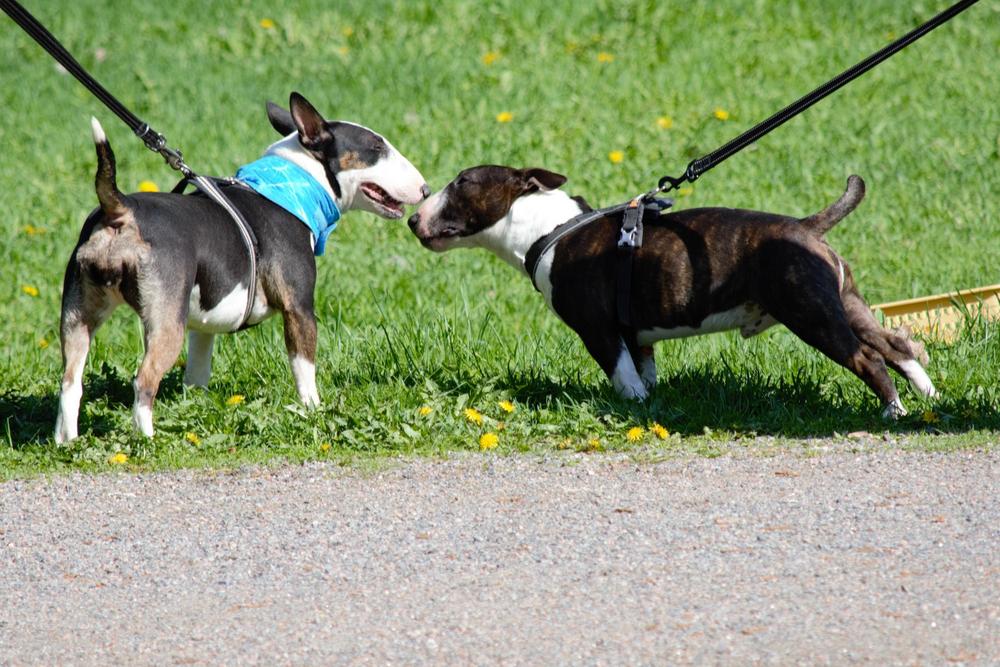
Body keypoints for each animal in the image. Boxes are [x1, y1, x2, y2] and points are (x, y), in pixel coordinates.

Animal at [55, 92, 428, 442]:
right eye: (376, 148)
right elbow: (304, 370)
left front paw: (197, 408)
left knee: (70, 381)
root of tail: (120, 210)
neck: (295, 186)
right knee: (143, 380)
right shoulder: (299, 308)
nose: (424, 189)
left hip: (78, 316)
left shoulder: (203, 322)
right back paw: (147, 440)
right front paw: (314, 412)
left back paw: (66, 442)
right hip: (166, 321)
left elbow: (197, 371)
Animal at [408, 165, 937, 418]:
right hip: (845, 302)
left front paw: (632, 411)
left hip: (810, 313)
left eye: (463, 183)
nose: (414, 218)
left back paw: (892, 412)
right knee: (898, 347)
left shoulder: (599, 332)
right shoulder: (636, 335)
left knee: (867, 358)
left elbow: (624, 379)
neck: (548, 228)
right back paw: (928, 401)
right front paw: (653, 407)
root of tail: (806, 227)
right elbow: (645, 374)